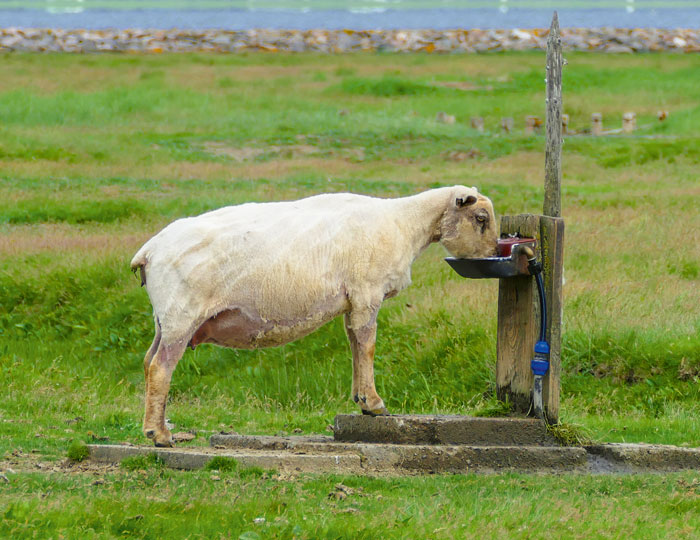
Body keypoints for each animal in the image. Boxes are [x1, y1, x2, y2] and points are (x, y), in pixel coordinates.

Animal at [130, 186, 498, 448]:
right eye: (481, 218)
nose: (496, 253)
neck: (405, 225)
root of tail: (149, 251)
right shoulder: (367, 293)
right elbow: (368, 346)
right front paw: (375, 404)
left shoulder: (353, 302)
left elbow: (355, 345)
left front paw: (361, 399)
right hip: (181, 315)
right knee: (161, 369)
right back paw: (160, 437)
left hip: (164, 320)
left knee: (148, 362)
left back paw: (156, 428)